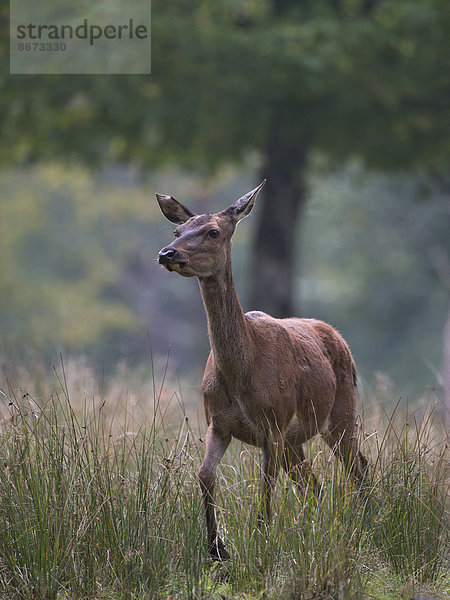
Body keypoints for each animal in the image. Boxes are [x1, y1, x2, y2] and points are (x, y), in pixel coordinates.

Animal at [156, 180, 368, 560]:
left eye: (213, 232)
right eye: (177, 231)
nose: (167, 253)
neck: (243, 376)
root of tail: (340, 339)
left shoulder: (273, 424)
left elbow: (266, 489)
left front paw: (261, 541)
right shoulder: (218, 423)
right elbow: (204, 475)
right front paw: (217, 548)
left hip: (341, 413)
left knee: (358, 467)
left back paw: (366, 526)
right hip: (296, 440)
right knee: (314, 484)